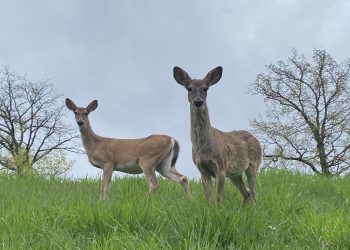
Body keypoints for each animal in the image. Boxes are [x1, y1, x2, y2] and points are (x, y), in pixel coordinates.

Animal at [174, 66, 262, 207]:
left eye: (205, 88)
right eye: (189, 88)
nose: (198, 101)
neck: (204, 147)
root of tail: (256, 139)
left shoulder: (221, 167)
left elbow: (219, 197)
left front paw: (219, 210)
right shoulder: (202, 169)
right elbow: (209, 198)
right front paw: (210, 210)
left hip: (253, 164)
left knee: (253, 193)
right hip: (234, 173)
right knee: (246, 193)